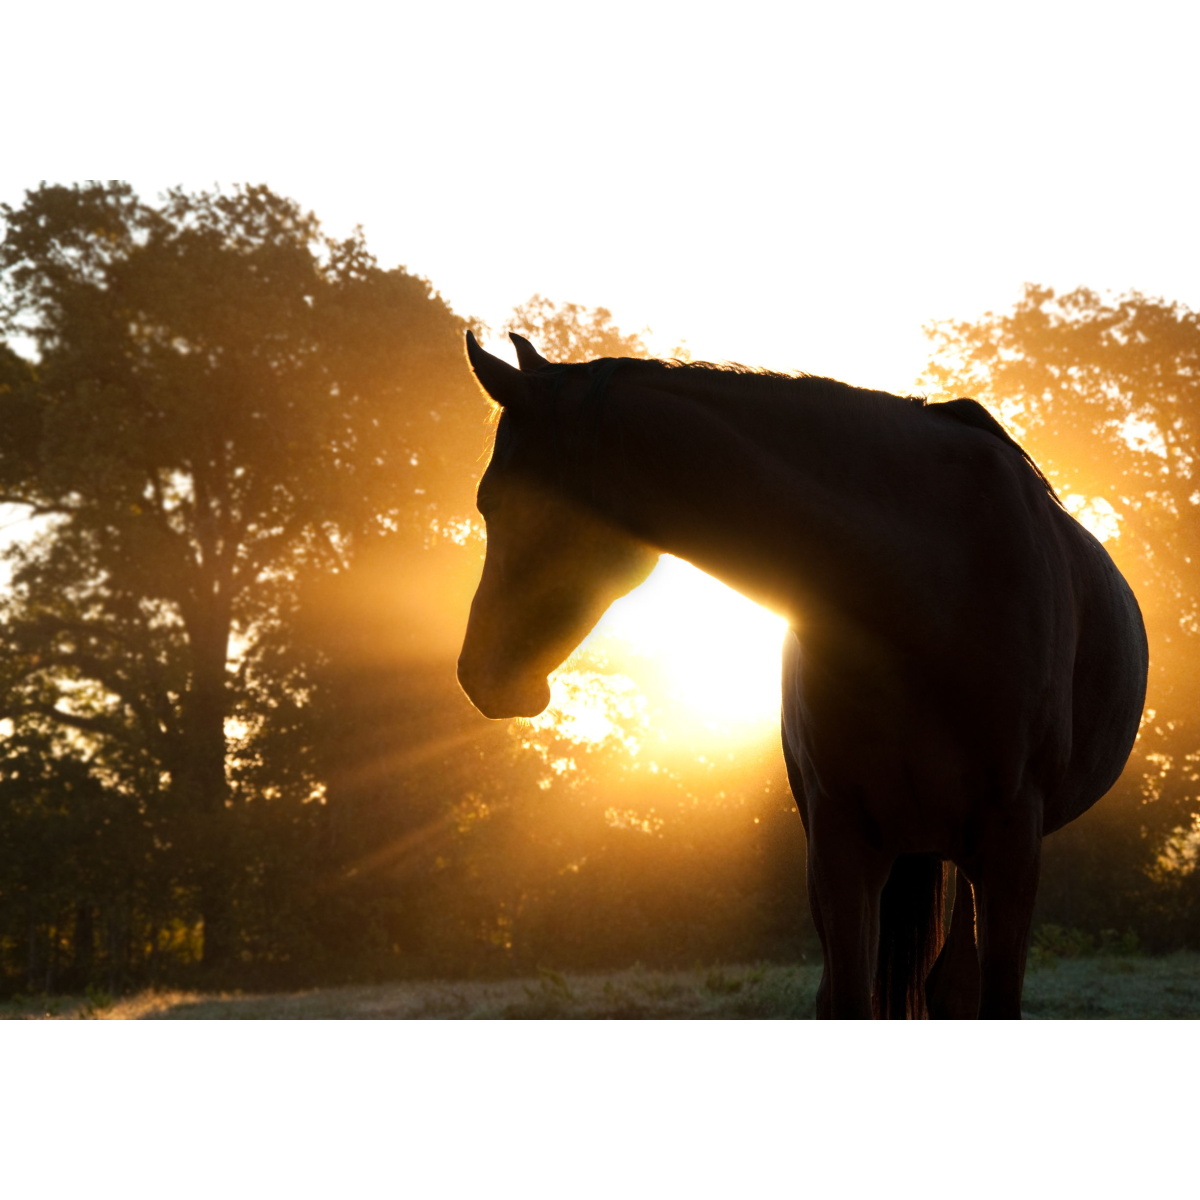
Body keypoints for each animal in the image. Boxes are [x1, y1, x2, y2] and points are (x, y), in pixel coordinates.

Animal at [457, 330, 1148, 1019]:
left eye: (493, 501)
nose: (476, 674)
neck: (936, 586)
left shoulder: (1010, 846)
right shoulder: (839, 842)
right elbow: (847, 998)